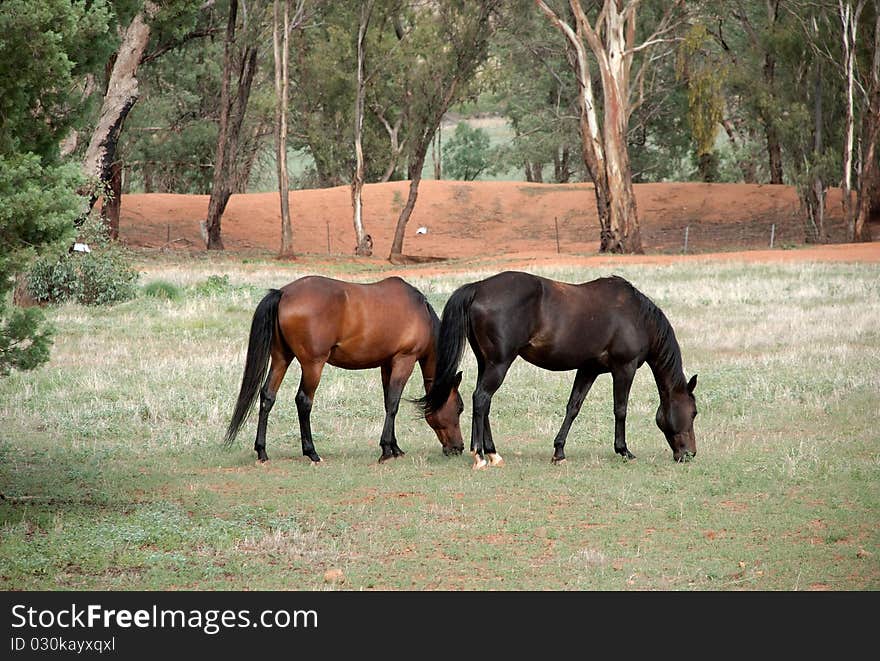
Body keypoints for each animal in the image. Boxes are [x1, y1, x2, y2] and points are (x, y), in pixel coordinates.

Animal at [223, 276, 464, 462]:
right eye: (460, 408)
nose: (458, 448)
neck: (420, 312)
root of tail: (283, 293)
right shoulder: (404, 360)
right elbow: (394, 404)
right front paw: (386, 450)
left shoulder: (387, 364)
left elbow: (388, 402)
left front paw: (394, 447)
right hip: (313, 365)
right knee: (303, 401)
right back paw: (311, 452)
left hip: (282, 358)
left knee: (267, 397)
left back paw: (262, 451)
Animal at [420, 270, 700, 466]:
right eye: (694, 412)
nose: (689, 454)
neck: (637, 317)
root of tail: (478, 288)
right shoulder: (624, 368)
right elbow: (620, 409)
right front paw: (623, 450)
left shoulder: (588, 370)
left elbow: (573, 407)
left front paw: (559, 451)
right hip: (499, 364)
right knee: (481, 399)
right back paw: (480, 455)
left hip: (486, 363)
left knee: (483, 401)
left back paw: (492, 453)